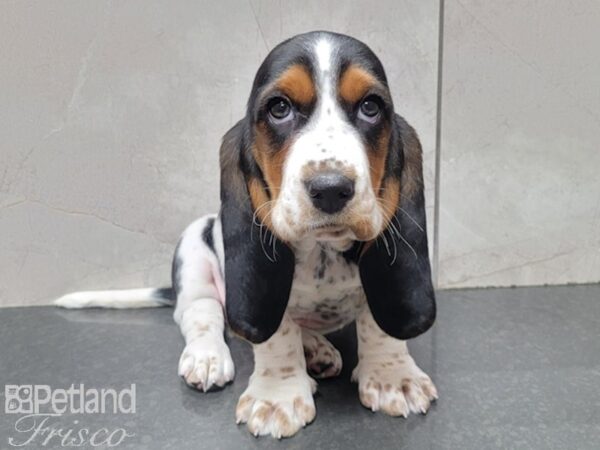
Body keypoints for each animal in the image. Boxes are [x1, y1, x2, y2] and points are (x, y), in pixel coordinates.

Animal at [56, 31, 436, 440]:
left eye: (370, 106)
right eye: (279, 108)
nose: (331, 188)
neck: (322, 251)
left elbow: (378, 324)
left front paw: (393, 377)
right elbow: (275, 333)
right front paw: (278, 396)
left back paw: (316, 349)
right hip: (194, 245)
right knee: (203, 313)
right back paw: (208, 356)